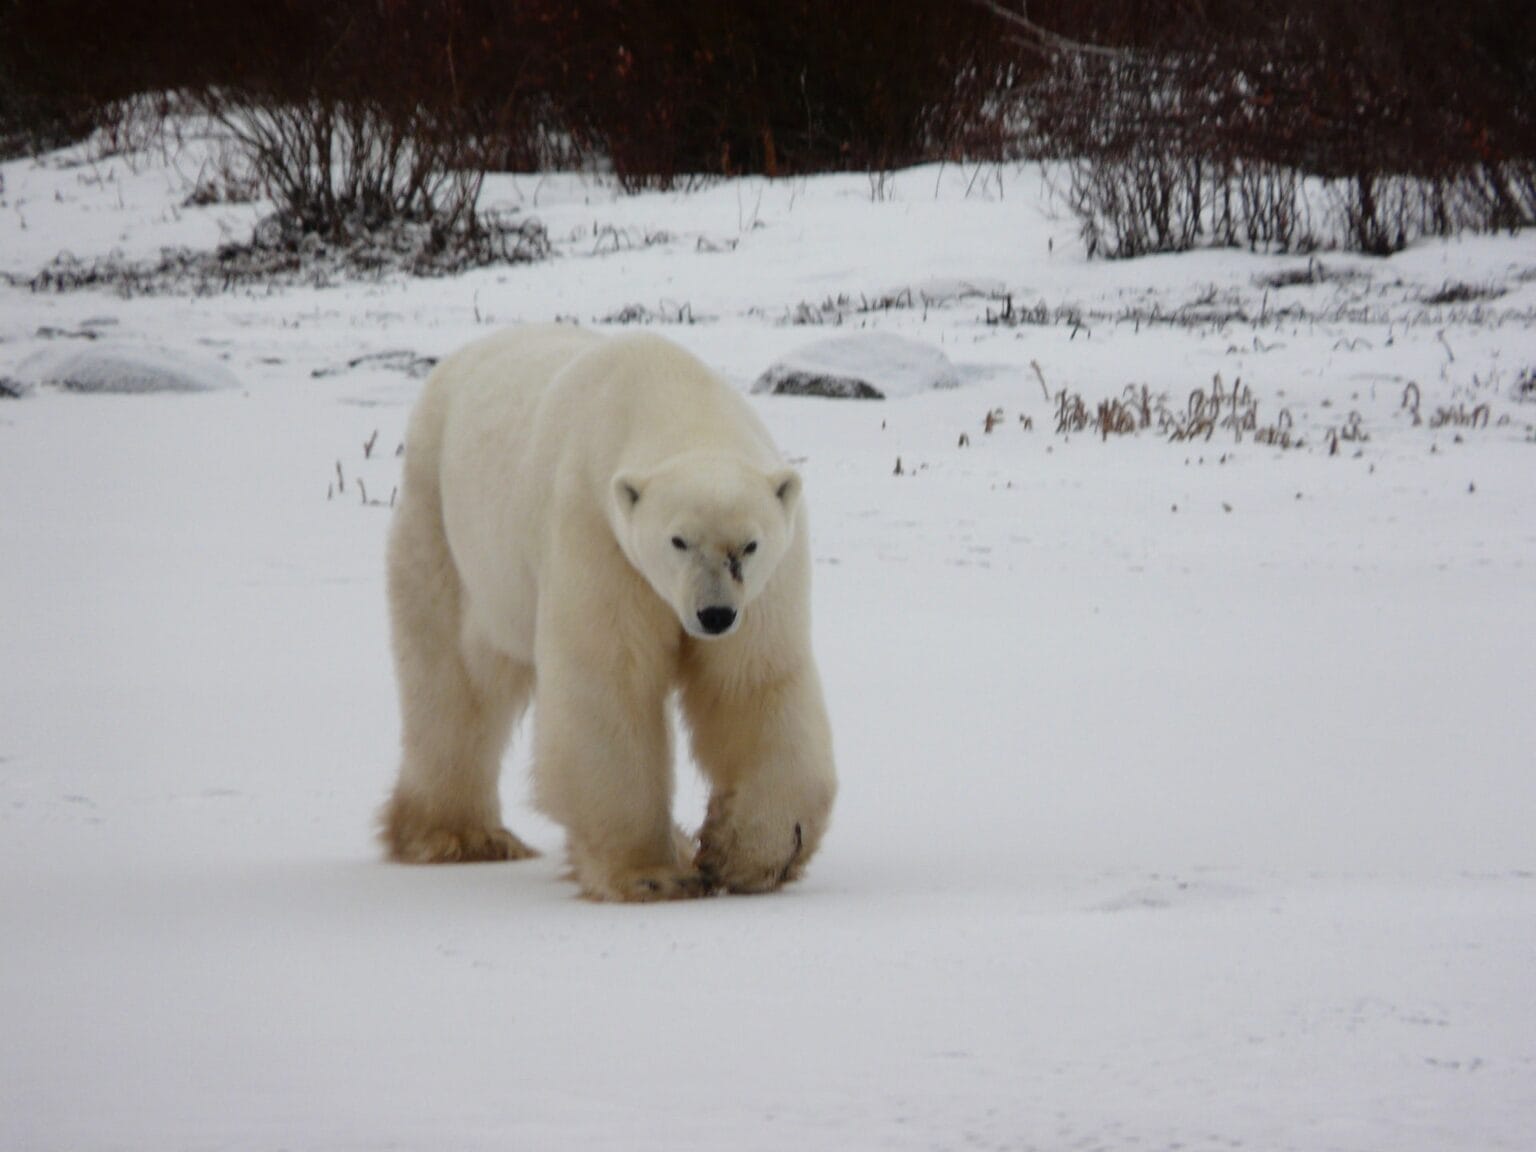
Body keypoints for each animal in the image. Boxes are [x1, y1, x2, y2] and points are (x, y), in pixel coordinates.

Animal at [381, 324, 837, 901]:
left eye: (749, 545)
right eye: (678, 540)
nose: (713, 615)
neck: (671, 393)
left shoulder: (766, 586)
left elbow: (752, 683)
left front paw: (749, 855)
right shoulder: (598, 532)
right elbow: (609, 682)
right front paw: (653, 874)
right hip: (444, 528)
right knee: (452, 681)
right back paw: (459, 836)